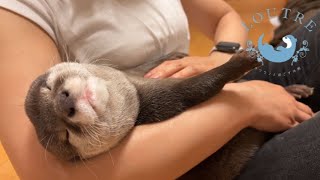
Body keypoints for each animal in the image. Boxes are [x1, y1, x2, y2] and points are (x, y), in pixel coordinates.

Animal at [24, 50, 312, 179]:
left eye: (48, 86)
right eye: (65, 135)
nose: (66, 105)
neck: (136, 94)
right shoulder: (164, 100)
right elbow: (198, 86)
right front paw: (241, 61)